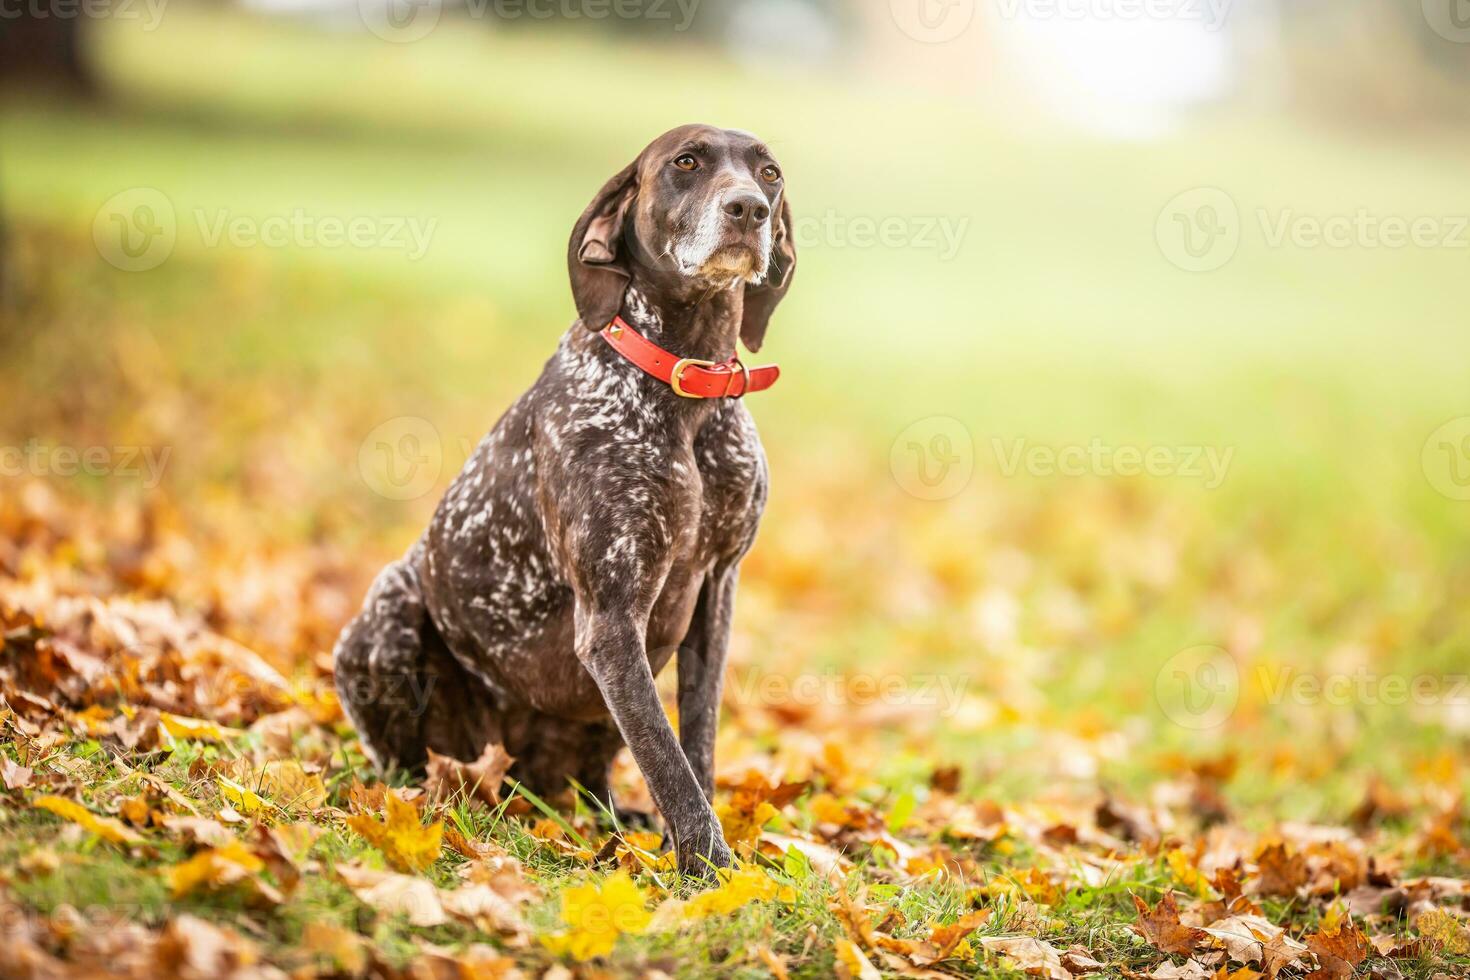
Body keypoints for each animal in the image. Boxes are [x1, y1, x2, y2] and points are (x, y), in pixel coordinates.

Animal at [333, 124, 793, 875]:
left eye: (770, 173)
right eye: (687, 162)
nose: (748, 209)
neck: (684, 384)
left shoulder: (715, 596)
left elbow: (694, 744)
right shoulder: (611, 619)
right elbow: (668, 759)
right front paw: (710, 870)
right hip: (390, 611)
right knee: (408, 766)